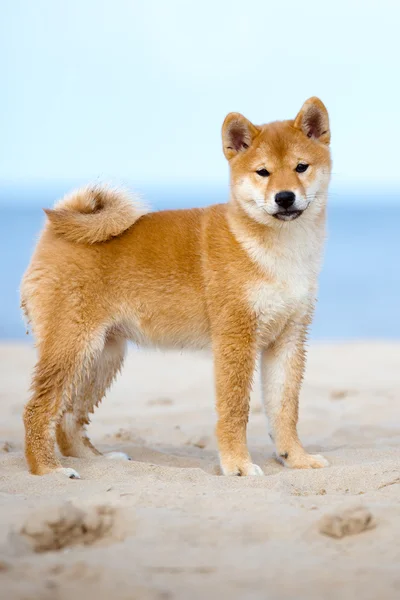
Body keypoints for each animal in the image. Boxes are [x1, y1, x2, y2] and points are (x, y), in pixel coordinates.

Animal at [20, 97, 332, 478]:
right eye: (263, 172)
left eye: (301, 167)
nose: (285, 197)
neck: (278, 250)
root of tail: (54, 232)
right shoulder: (235, 338)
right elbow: (235, 411)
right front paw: (238, 465)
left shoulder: (287, 340)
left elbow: (285, 410)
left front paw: (296, 458)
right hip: (72, 347)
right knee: (38, 410)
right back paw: (48, 469)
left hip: (103, 355)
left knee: (68, 417)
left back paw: (94, 459)